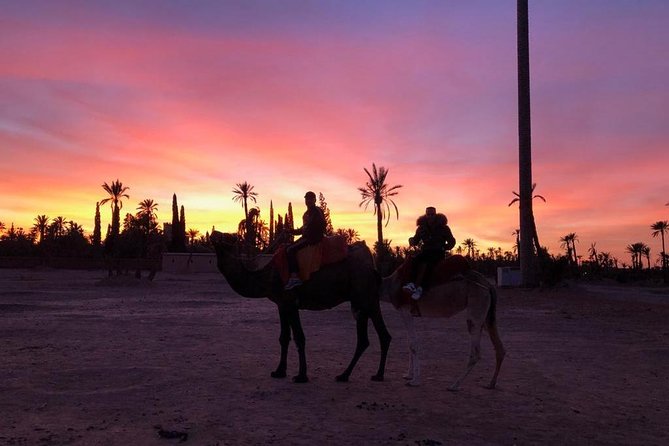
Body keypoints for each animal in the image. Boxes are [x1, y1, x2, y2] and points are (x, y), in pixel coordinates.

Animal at [210, 232, 392, 382]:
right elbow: (284, 338)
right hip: (366, 299)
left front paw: (301, 376)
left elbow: (299, 337)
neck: (267, 277)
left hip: (363, 295)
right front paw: (279, 371)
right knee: (377, 336)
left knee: (370, 337)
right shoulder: (281, 305)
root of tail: (371, 264)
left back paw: (351, 375)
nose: (213, 233)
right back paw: (369, 374)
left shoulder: (290, 302)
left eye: (226, 236)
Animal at [378, 262, 504, 390]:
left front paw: (414, 381)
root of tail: (489, 285)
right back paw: (491, 383)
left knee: (476, 351)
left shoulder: (405, 310)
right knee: (499, 347)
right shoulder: (407, 313)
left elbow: (413, 344)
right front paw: (408, 375)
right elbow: (409, 343)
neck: (390, 285)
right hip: (487, 316)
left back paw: (454, 385)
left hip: (476, 309)